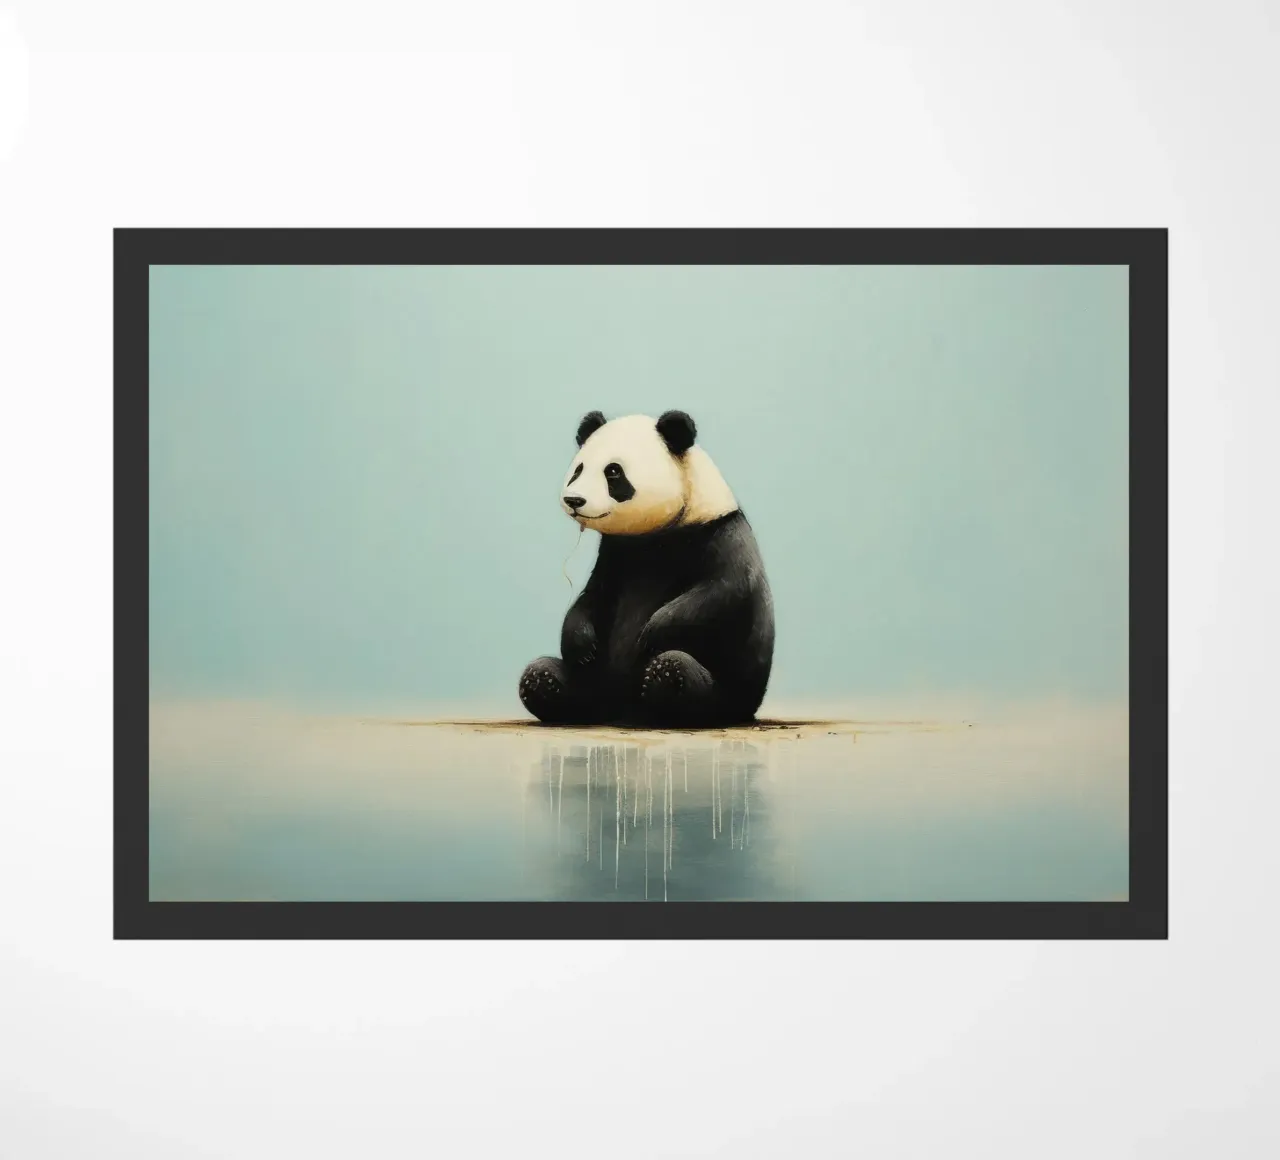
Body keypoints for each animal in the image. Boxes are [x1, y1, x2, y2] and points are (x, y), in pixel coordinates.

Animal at [518, 410, 775, 728]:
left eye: (613, 472)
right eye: (578, 469)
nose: (574, 500)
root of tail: (617, 713)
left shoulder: (722, 534)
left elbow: (722, 592)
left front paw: (650, 636)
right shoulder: (616, 553)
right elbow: (593, 596)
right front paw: (582, 646)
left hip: (728, 693)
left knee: (676, 668)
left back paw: (665, 711)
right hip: (591, 685)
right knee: (540, 673)